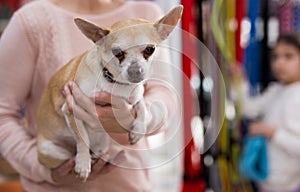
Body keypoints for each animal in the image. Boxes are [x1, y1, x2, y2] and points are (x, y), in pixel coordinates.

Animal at [37, 5, 183, 181]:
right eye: (117, 52)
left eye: (150, 49)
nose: (136, 71)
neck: (117, 83)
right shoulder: (70, 108)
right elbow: (82, 138)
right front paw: (83, 163)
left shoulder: (136, 96)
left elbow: (142, 107)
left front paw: (138, 130)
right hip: (51, 151)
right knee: (70, 156)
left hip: (103, 141)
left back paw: (99, 157)